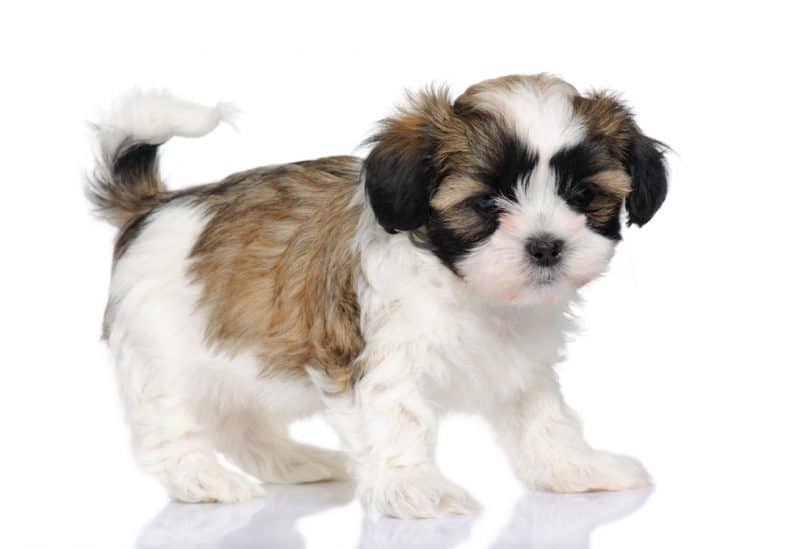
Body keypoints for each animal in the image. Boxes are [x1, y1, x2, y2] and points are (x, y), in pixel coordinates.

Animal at [90, 74, 668, 520]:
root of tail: (155, 205)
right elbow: (399, 419)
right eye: (485, 202)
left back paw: (294, 462)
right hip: (161, 351)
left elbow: (546, 419)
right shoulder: (378, 356)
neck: (464, 285)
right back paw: (202, 478)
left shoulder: (522, 367)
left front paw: (576, 468)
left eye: (583, 195)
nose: (546, 245)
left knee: (241, 421)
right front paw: (417, 488)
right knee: (170, 427)